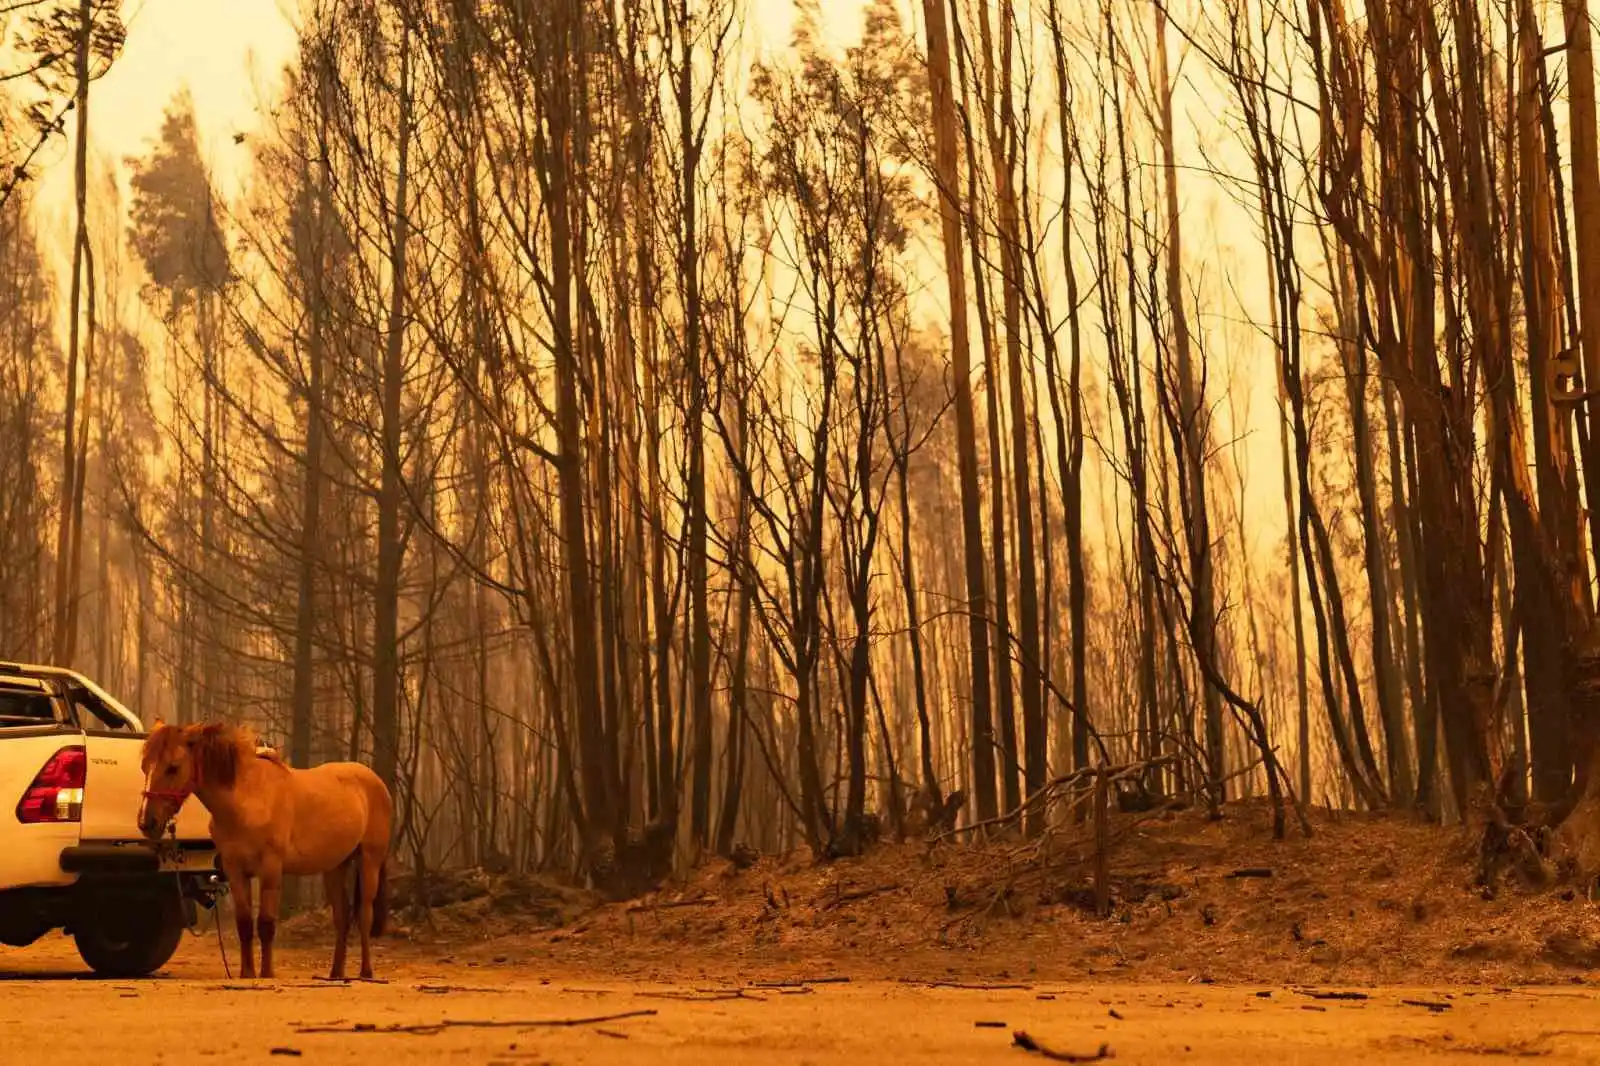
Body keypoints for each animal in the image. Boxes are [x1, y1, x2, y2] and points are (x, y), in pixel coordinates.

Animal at [141, 717, 396, 973]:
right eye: (145, 767)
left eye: (173, 767)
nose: (146, 822)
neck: (247, 800)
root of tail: (376, 782)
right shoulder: (235, 870)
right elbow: (244, 924)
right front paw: (246, 974)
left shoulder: (271, 868)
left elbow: (265, 924)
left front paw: (266, 973)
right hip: (335, 867)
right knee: (342, 917)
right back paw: (335, 975)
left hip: (369, 861)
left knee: (364, 914)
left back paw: (366, 972)